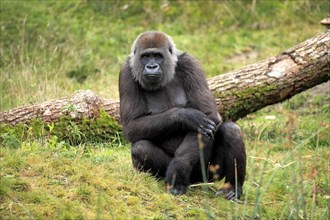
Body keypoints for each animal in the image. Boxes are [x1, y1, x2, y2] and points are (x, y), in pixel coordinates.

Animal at [118, 31, 245, 199]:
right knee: (140, 147)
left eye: (157, 56)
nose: (151, 66)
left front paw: (179, 167)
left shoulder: (191, 63)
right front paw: (186, 116)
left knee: (231, 130)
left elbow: (209, 114)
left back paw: (232, 187)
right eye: (146, 56)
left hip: (208, 175)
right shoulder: (125, 73)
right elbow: (132, 125)